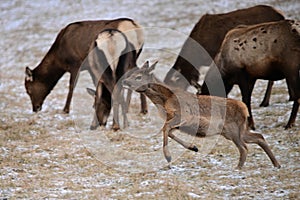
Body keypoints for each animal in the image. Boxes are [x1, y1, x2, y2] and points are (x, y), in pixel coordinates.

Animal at [122, 61, 282, 169]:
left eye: (138, 77)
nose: (125, 80)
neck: (165, 100)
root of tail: (244, 109)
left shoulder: (184, 116)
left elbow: (165, 129)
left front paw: (168, 157)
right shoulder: (178, 122)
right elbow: (169, 131)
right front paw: (193, 147)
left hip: (233, 130)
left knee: (244, 148)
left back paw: (238, 168)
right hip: (237, 131)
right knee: (259, 137)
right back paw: (276, 164)